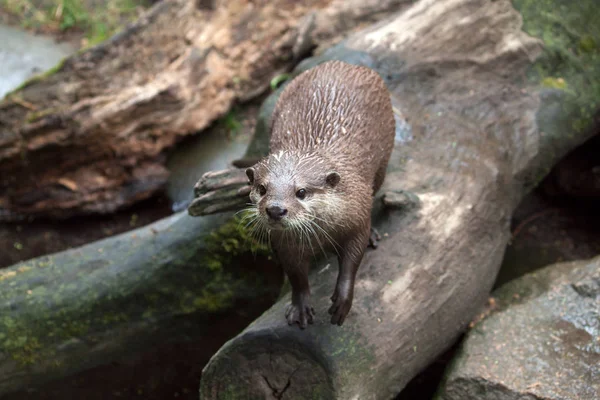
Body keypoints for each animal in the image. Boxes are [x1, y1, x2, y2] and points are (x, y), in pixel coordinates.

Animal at [246, 60, 396, 328]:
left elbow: (352, 259)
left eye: (301, 192)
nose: (275, 209)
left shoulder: (356, 216)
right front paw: (300, 307)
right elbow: (296, 275)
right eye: (262, 189)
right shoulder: (284, 244)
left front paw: (343, 300)